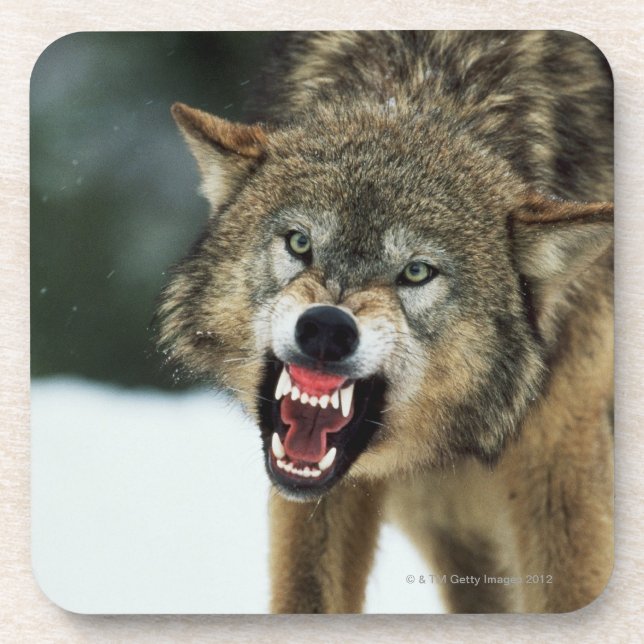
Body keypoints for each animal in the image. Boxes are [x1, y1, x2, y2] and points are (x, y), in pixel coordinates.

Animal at [157, 31, 613, 613]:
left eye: (416, 272)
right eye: (300, 243)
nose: (326, 328)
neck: (430, 79)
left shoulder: (559, 465)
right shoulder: (326, 495)